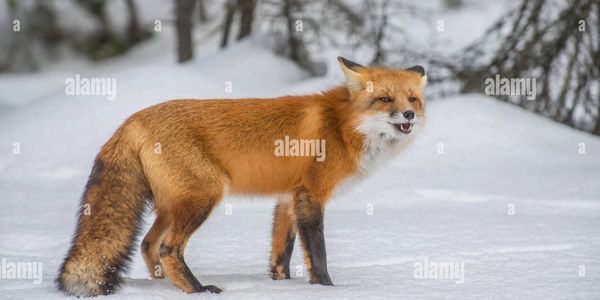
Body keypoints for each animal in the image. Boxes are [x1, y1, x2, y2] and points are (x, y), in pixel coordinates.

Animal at [55, 57, 422, 296]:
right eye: (385, 99)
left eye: (413, 98)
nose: (409, 115)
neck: (343, 125)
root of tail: (131, 120)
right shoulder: (310, 194)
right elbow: (317, 253)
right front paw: (328, 288)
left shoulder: (287, 198)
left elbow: (280, 255)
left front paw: (282, 286)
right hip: (202, 197)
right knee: (168, 248)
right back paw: (198, 290)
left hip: (173, 204)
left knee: (148, 244)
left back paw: (164, 287)